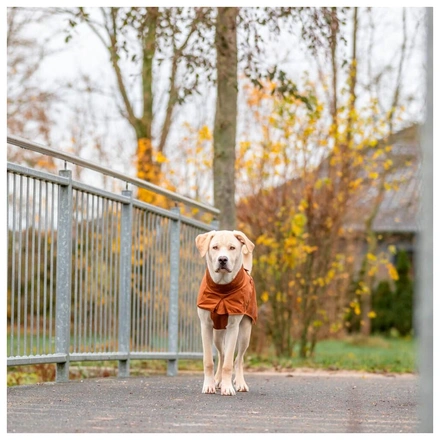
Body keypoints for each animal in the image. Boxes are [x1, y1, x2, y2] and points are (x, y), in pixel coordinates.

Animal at [194, 230, 256, 396]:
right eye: (214, 247)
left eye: (232, 248)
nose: (222, 259)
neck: (222, 289)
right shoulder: (205, 326)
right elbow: (209, 361)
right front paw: (209, 385)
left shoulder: (233, 328)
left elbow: (229, 362)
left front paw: (228, 387)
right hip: (217, 334)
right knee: (221, 355)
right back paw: (218, 380)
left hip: (245, 333)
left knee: (238, 359)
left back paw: (240, 383)